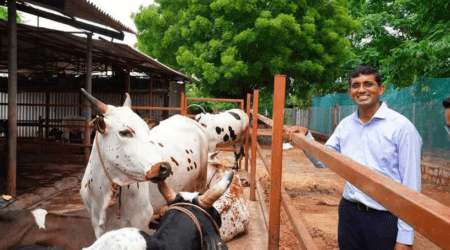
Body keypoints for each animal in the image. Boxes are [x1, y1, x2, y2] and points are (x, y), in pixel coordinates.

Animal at [79, 89, 209, 237]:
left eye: (148, 132)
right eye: (125, 132)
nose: (164, 167)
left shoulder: (141, 221)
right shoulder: (97, 226)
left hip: (201, 183)